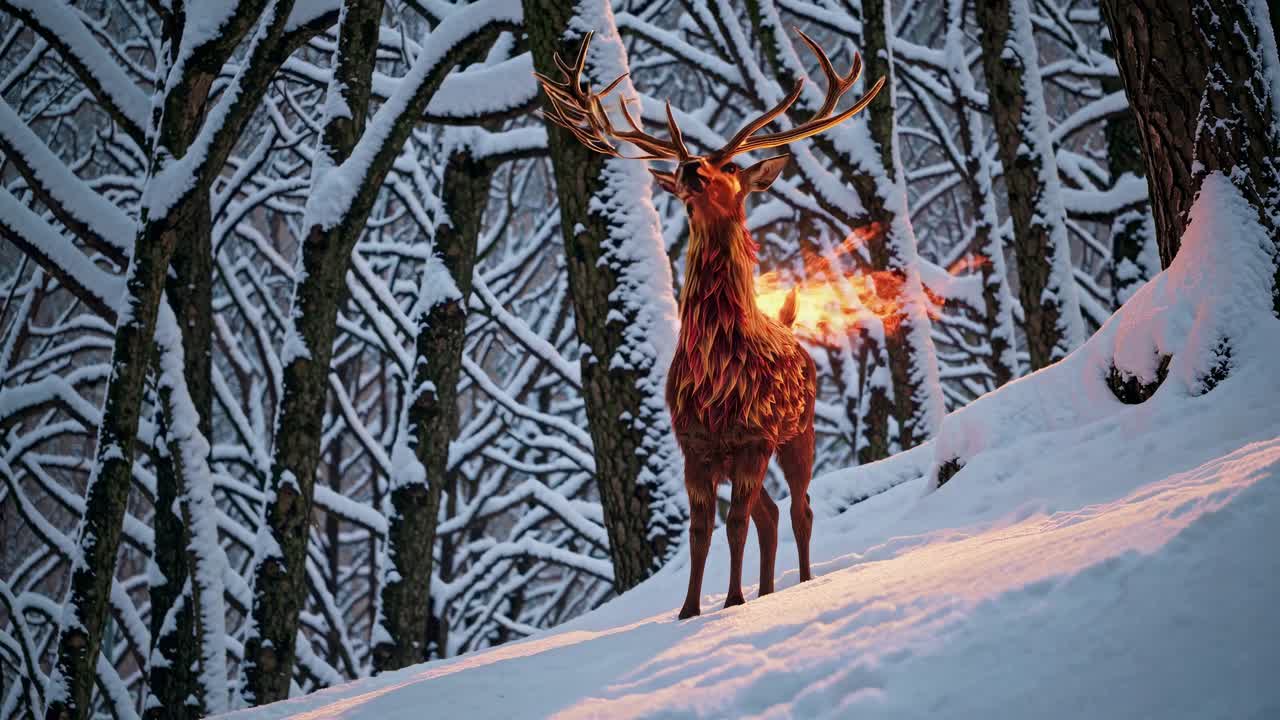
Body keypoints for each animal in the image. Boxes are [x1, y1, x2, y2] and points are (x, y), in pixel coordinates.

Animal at [536, 31, 883, 619]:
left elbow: (734, 524)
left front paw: (734, 600)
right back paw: (767, 589)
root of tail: (794, 332)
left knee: (799, 510)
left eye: (733, 169)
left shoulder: (752, 437)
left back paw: (799, 582)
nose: (690, 166)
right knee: (771, 514)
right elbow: (700, 532)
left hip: (799, 432)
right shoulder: (694, 448)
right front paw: (690, 610)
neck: (717, 368)